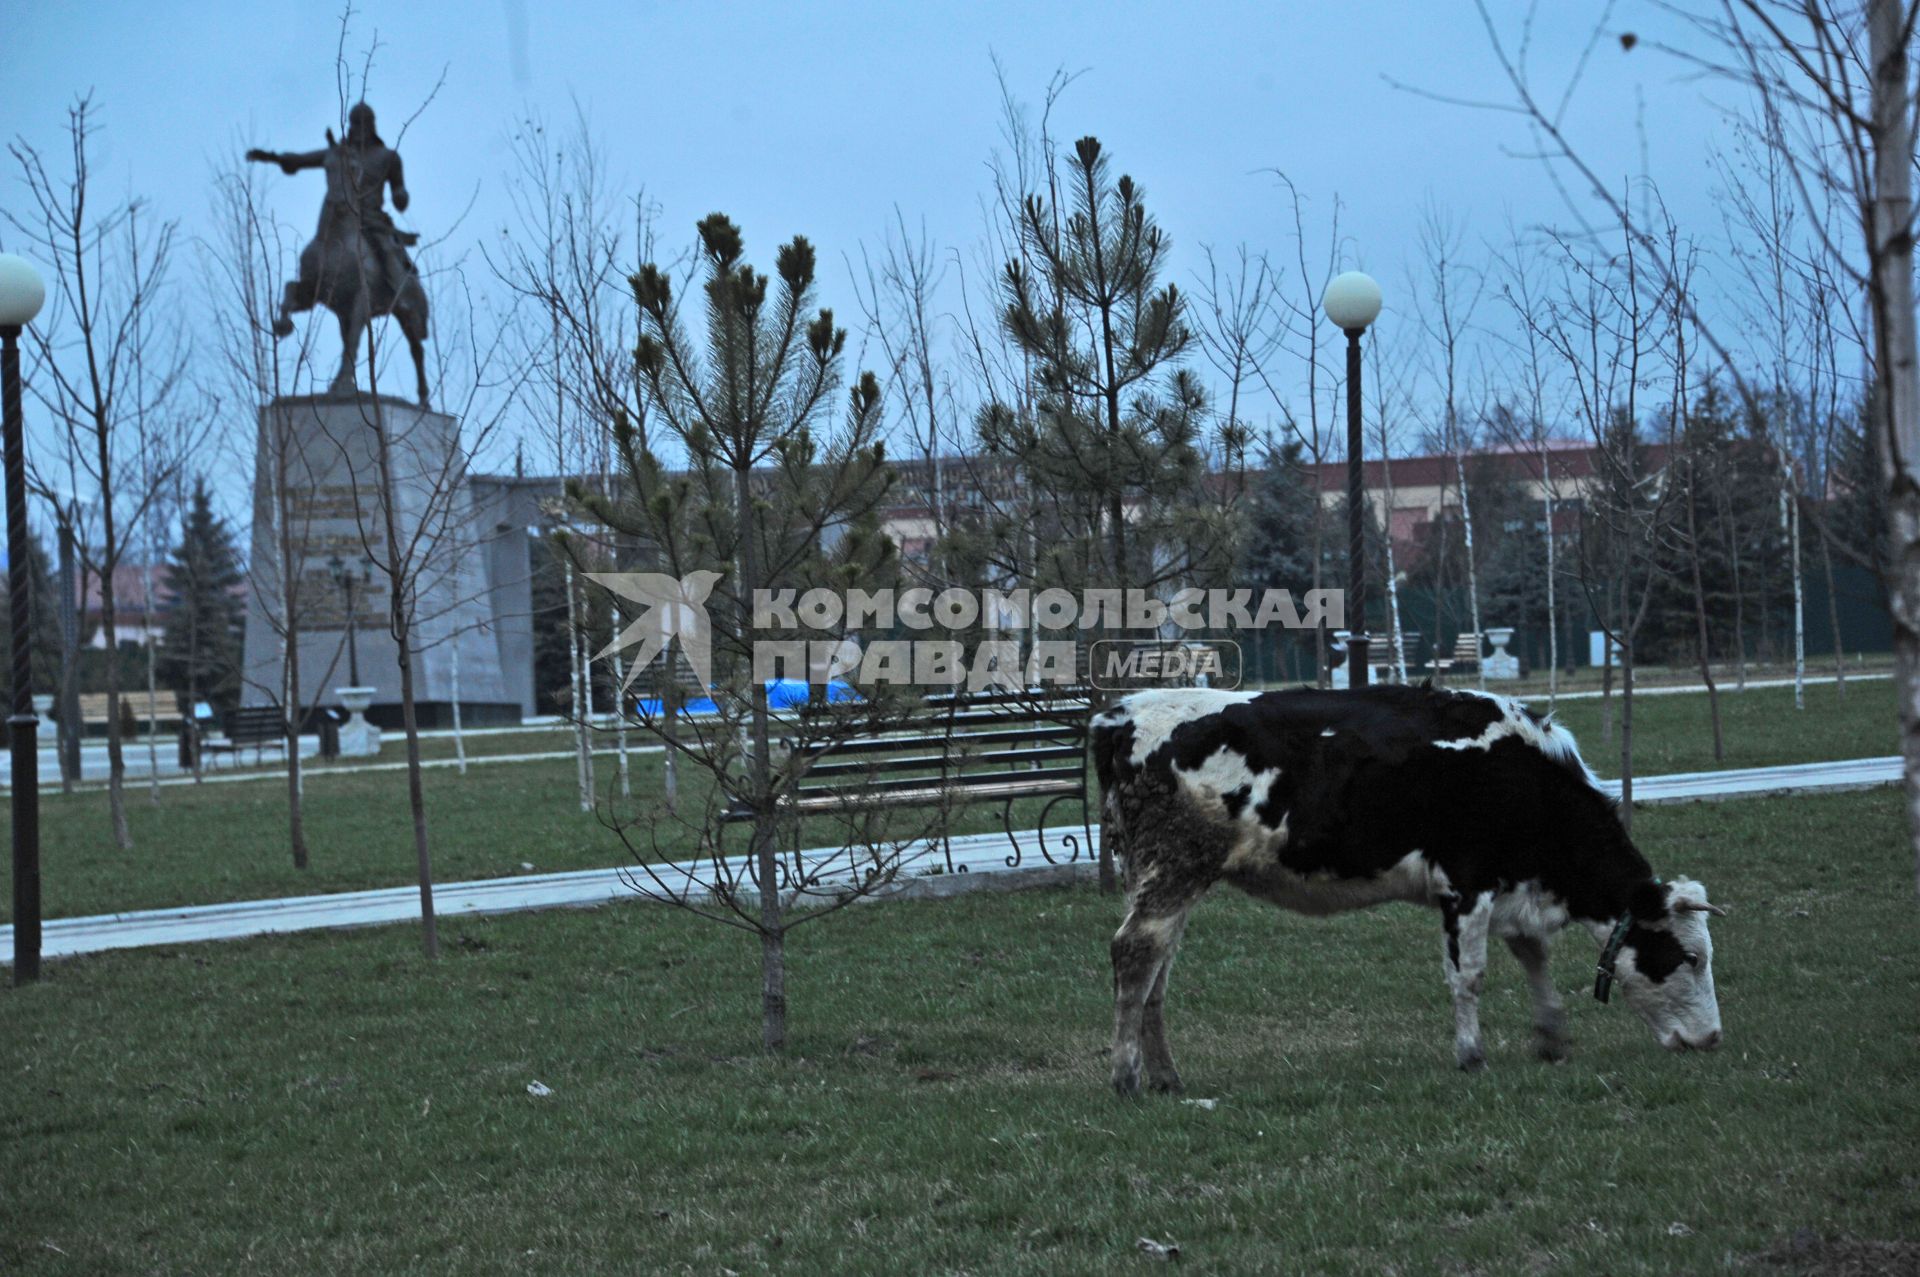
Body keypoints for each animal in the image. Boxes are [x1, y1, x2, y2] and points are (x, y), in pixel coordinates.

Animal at [1090, 687, 1735, 1098]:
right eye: (1690, 957)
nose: (1712, 1039)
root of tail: (1123, 714)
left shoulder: (1511, 890)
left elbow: (1533, 956)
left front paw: (1551, 1035)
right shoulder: (1466, 886)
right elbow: (1469, 975)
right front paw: (1471, 1055)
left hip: (1167, 881)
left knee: (1157, 972)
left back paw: (1166, 1076)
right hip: (1171, 873)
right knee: (1134, 953)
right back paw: (1125, 1078)